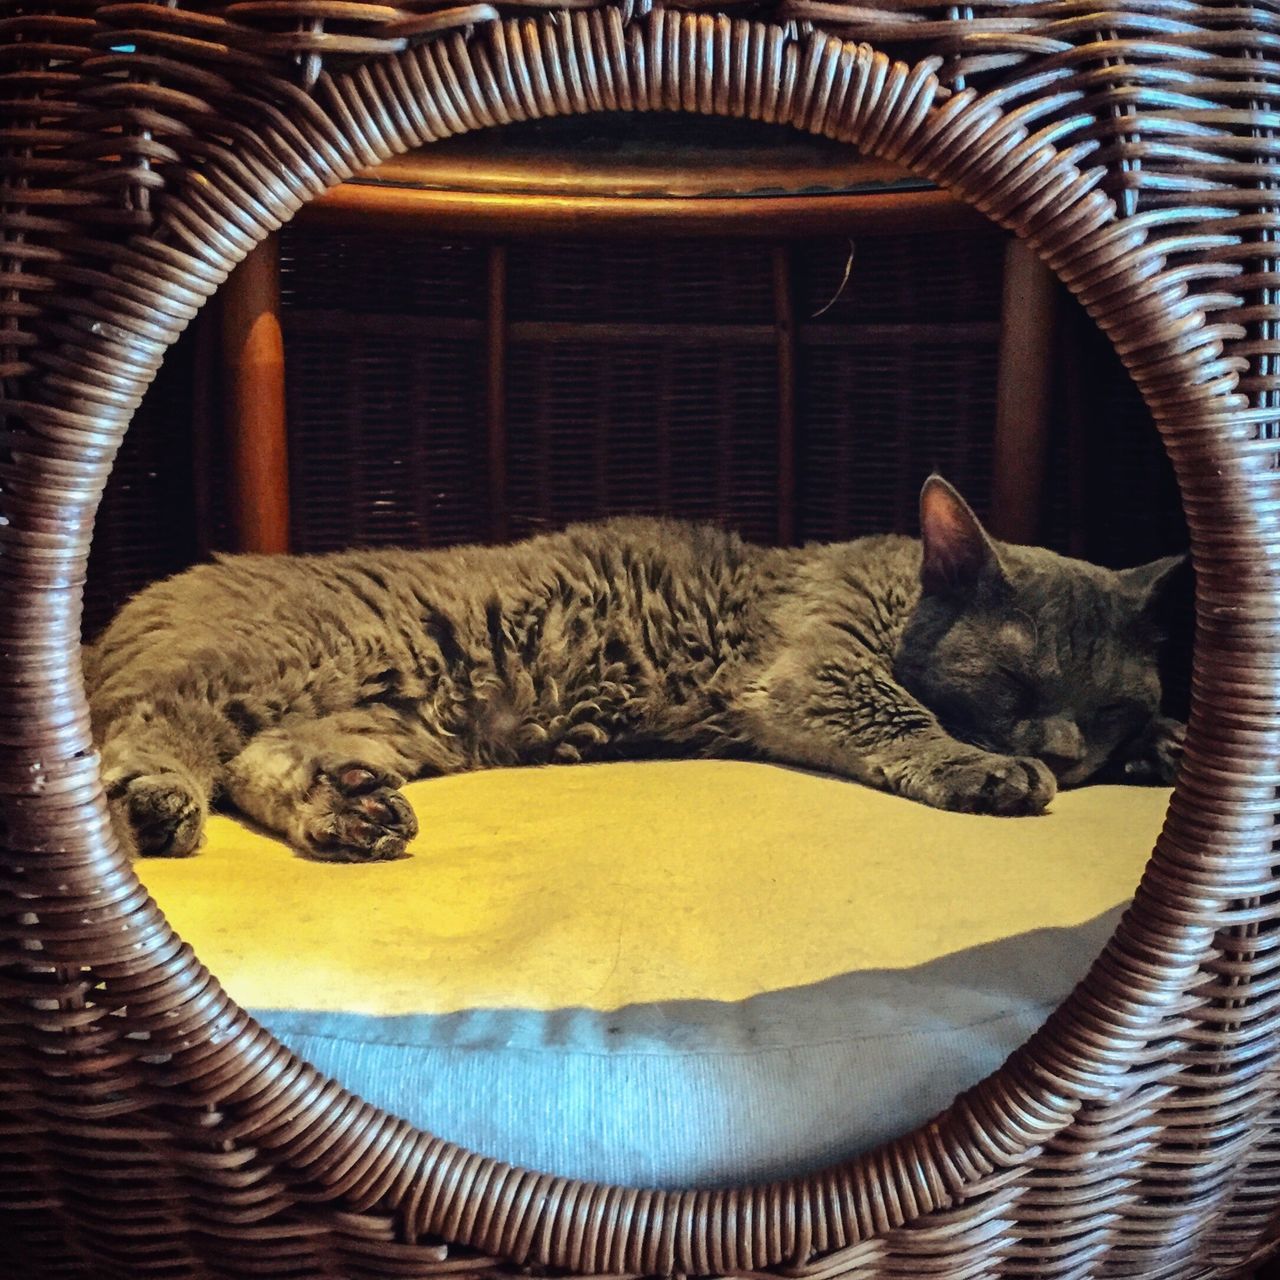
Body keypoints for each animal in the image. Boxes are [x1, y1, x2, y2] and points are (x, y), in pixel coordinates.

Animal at [87, 473, 1187, 860]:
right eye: (1012, 684)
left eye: (1106, 706)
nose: (1064, 749)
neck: (889, 588)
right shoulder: (818, 667)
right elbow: (903, 718)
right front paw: (992, 767)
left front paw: (1166, 746)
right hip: (258, 666)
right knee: (150, 733)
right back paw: (156, 802)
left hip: (382, 721)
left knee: (256, 763)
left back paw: (349, 810)